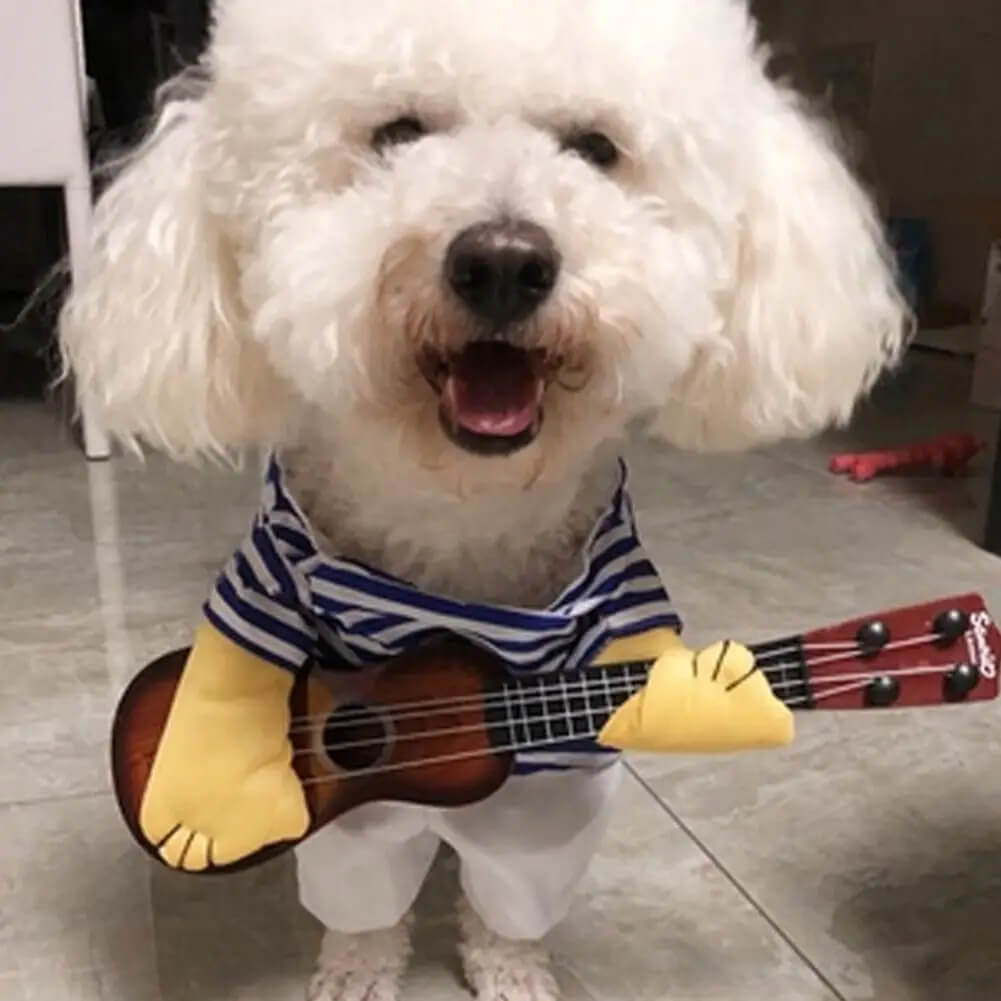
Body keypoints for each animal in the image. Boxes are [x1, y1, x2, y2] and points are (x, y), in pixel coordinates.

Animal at [60, 1, 908, 1001]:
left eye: (594, 147)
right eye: (397, 133)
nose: (503, 262)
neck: (462, 517)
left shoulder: (560, 763)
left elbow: (516, 886)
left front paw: (509, 969)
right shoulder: (279, 613)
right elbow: (351, 879)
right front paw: (353, 965)